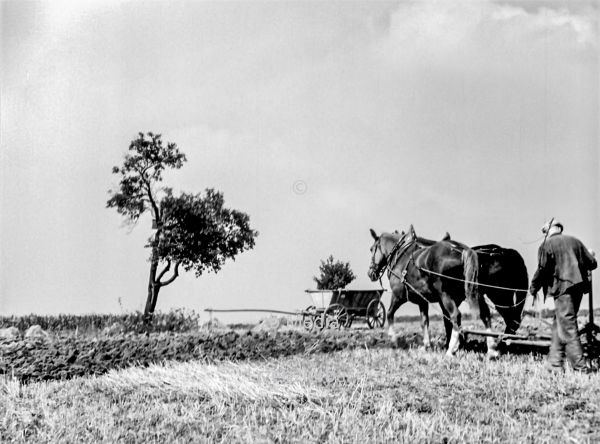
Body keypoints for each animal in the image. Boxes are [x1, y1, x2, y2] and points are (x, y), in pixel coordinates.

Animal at [368, 225, 500, 358]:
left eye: (371, 249)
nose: (370, 273)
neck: (401, 256)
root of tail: (462, 249)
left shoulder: (398, 296)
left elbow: (390, 314)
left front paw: (394, 340)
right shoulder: (422, 301)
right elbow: (424, 322)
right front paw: (427, 345)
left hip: (445, 295)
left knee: (455, 315)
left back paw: (451, 350)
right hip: (474, 292)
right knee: (485, 314)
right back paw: (491, 349)